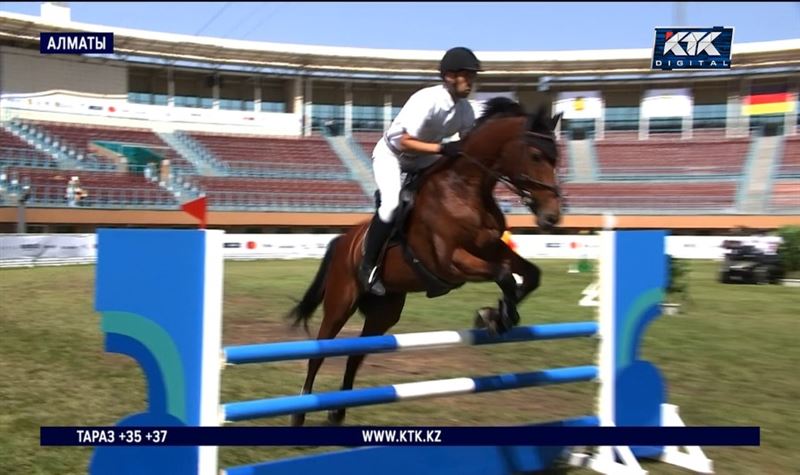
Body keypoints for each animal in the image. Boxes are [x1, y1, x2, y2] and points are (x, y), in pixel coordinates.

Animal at [286, 97, 564, 428]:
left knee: (357, 353)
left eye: (557, 158)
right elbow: (505, 274)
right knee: (319, 352)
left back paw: (338, 410)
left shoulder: (492, 247)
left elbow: (529, 274)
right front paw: (494, 315)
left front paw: (500, 315)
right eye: (535, 156)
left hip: (384, 312)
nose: (552, 217)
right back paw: (300, 411)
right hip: (341, 303)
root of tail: (343, 240)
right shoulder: (449, 263)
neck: (465, 187)